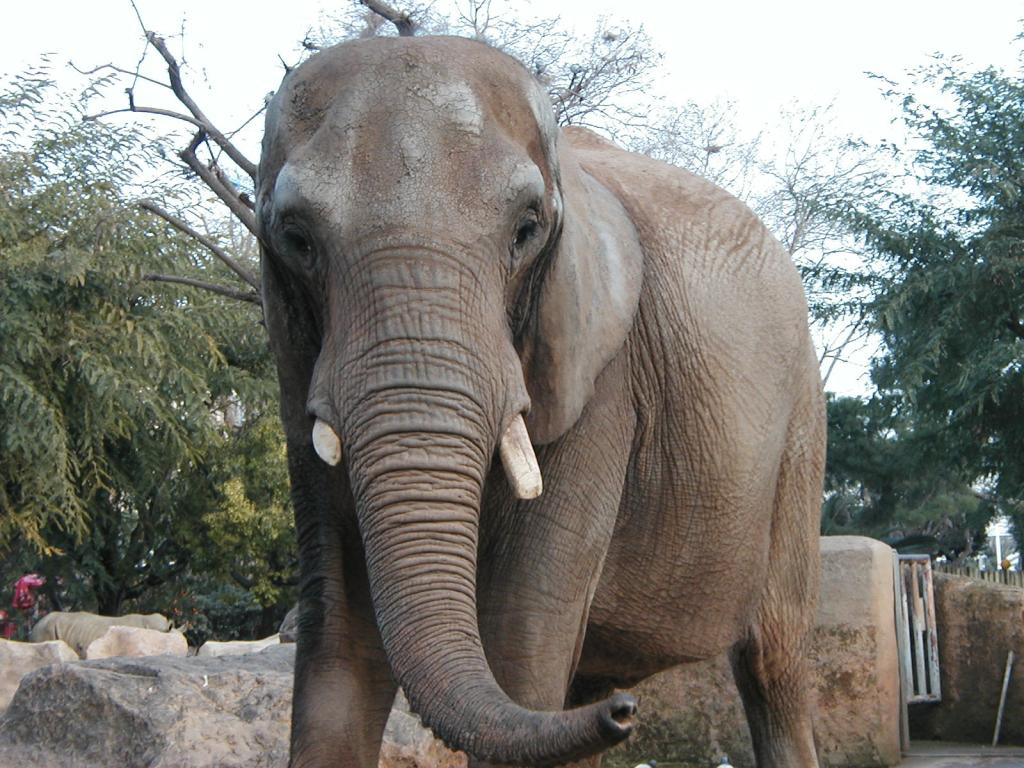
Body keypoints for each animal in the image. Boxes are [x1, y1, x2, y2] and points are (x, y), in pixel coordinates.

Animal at [256, 33, 823, 768]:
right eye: (296, 238)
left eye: (526, 230)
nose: (626, 714)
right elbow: (341, 641)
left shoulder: (603, 384)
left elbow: (522, 636)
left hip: (801, 430)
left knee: (772, 663)